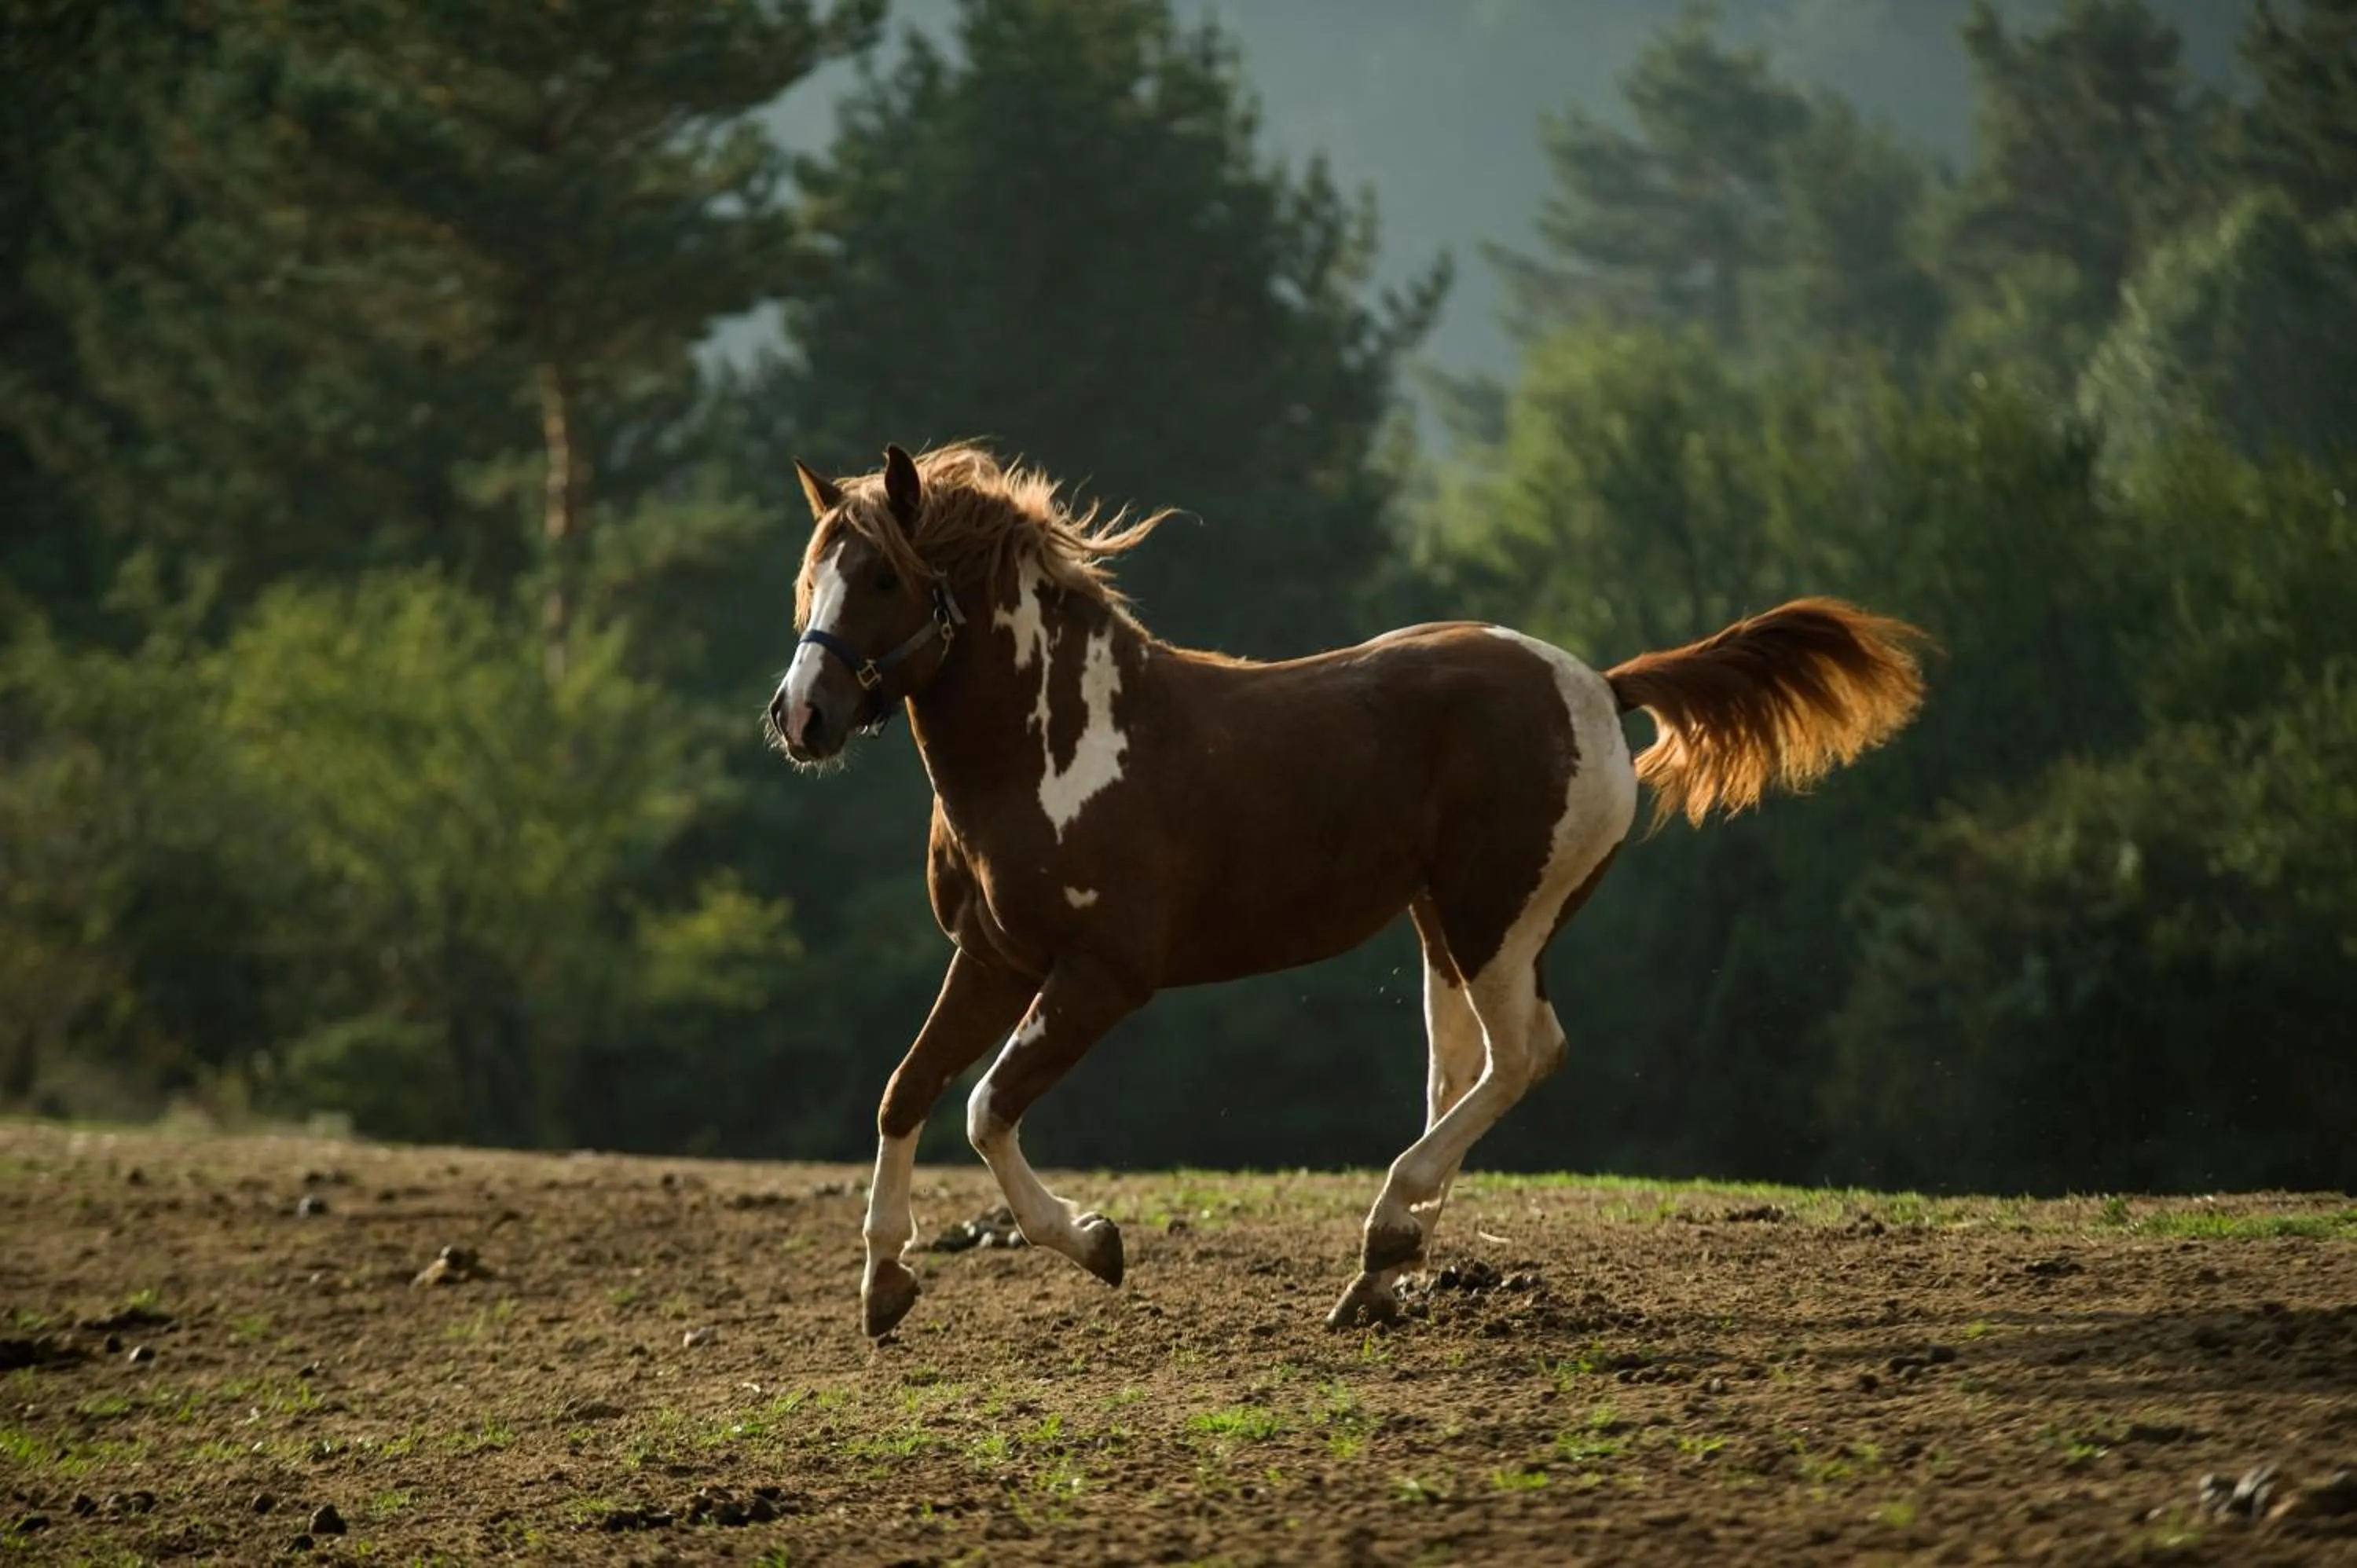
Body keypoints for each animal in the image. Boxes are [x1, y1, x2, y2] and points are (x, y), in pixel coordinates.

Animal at [766, 442, 1927, 1338]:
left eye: (883, 580)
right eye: (807, 580)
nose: (800, 717)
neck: (1058, 747)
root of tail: (1599, 686)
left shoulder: (1102, 974)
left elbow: (984, 1107)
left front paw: (1096, 1242)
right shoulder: (994, 958)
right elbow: (907, 1092)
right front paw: (884, 1286)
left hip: (1498, 921)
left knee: (1525, 1056)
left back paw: (1387, 1232)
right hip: (1442, 929)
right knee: (1462, 1072)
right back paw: (1380, 1276)